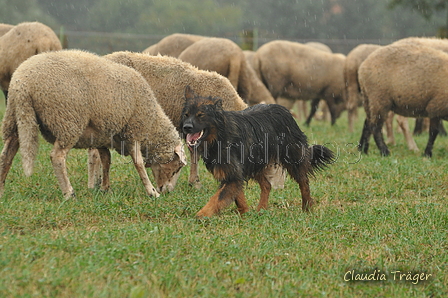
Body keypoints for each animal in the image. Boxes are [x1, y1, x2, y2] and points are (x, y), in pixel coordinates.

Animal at [0, 49, 186, 198]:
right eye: (177, 167)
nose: (166, 191)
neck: (153, 123)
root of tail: (23, 83)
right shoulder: (133, 131)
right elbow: (139, 164)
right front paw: (152, 192)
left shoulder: (101, 136)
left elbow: (106, 160)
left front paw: (105, 188)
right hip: (67, 120)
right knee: (57, 157)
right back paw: (69, 193)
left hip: (15, 117)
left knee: (6, 154)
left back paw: (1, 190)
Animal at [180, 86, 334, 219]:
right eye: (186, 115)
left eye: (201, 115)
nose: (186, 127)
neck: (219, 135)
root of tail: (283, 109)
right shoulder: (233, 174)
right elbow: (238, 196)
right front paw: (245, 213)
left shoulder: (233, 174)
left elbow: (217, 198)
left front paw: (201, 215)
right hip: (256, 161)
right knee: (266, 185)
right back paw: (261, 209)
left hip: (293, 158)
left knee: (304, 182)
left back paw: (307, 207)